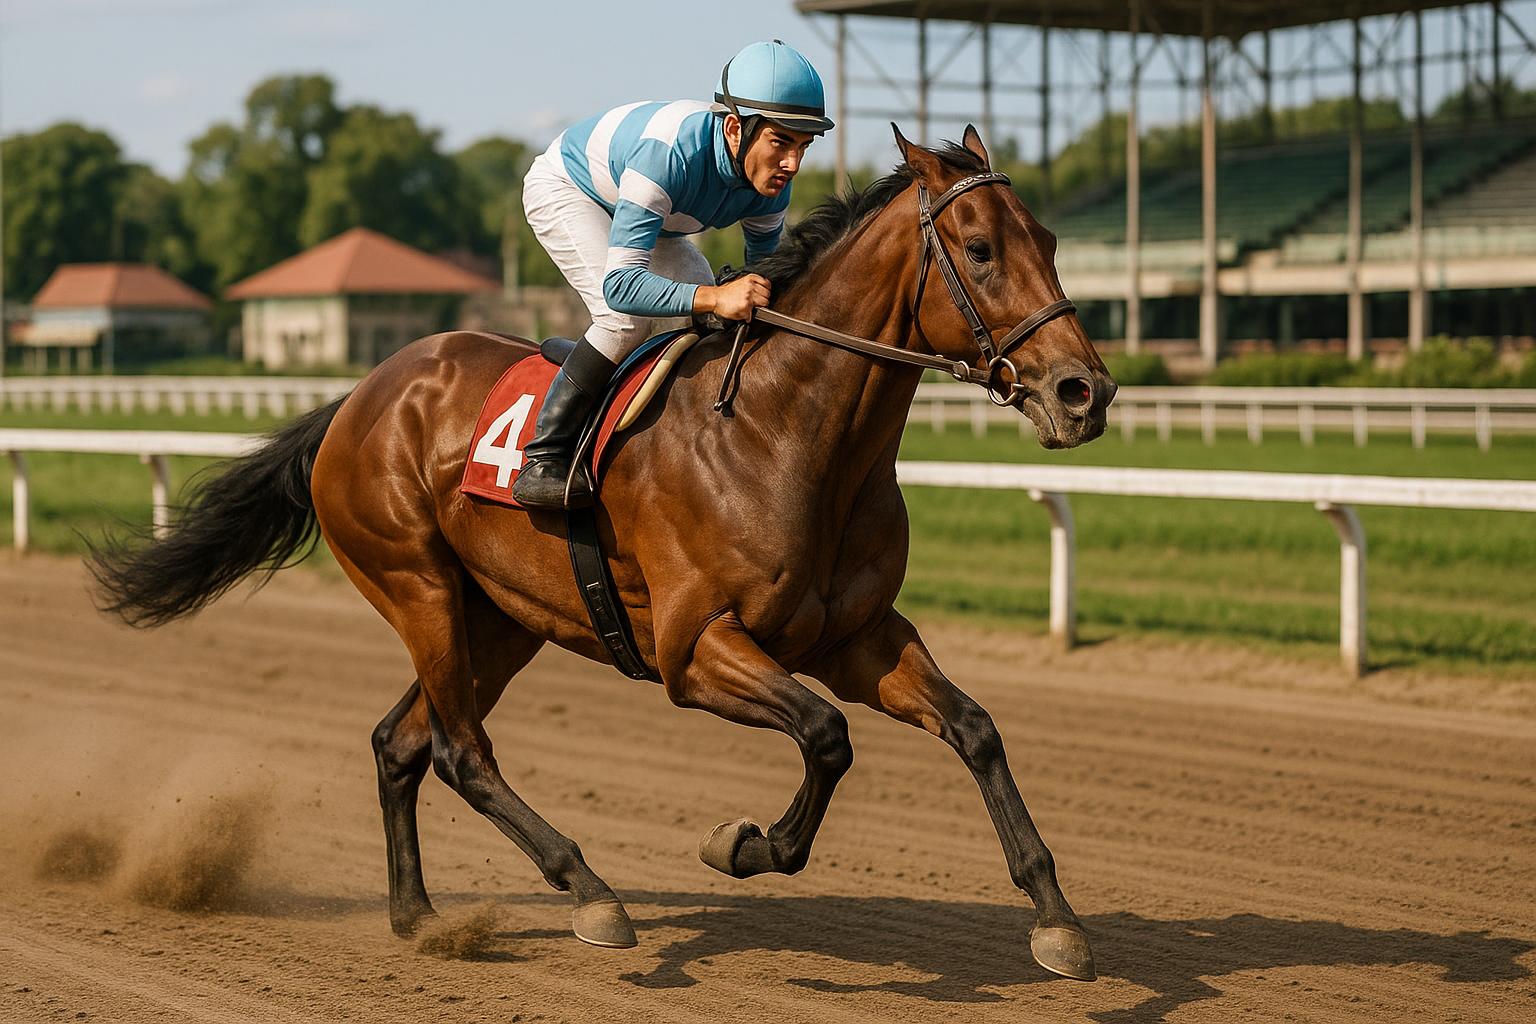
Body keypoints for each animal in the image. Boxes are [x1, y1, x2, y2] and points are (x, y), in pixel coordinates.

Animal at [89, 125, 1116, 981]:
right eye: (980, 250)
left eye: (1050, 242)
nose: (1085, 391)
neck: (786, 431)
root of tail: (358, 396)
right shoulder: (693, 650)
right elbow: (827, 736)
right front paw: (742, 844)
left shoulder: (857, 637)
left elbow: (975, 728)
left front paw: (1058, 920)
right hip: (417, 586)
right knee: (460, 751)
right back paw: (590, 893)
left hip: (502, 618)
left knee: (400, 742)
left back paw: (418, 916)